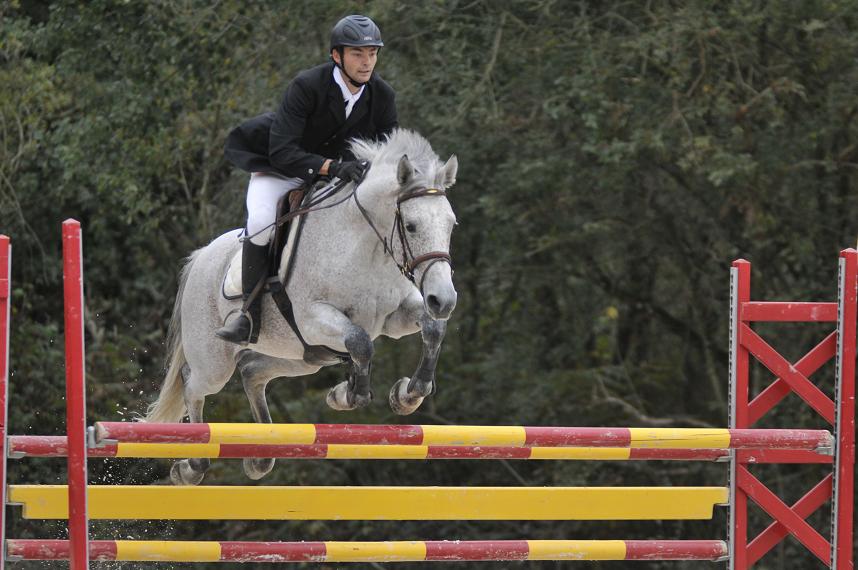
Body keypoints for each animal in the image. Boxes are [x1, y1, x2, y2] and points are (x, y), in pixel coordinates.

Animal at [144, 130, 458, 484]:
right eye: (412, 226)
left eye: (451, 225)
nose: (444, 300)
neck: (366, 248)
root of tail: (200, 256)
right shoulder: (312, 317)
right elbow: (361, 342)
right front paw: (351, 394)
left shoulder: (395, 316)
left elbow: (433, 328)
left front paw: (408, 393)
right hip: (216, 363)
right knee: (192, 383)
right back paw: (192, 466)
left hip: (303, 356)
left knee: (252, 370)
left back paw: (261, 457)